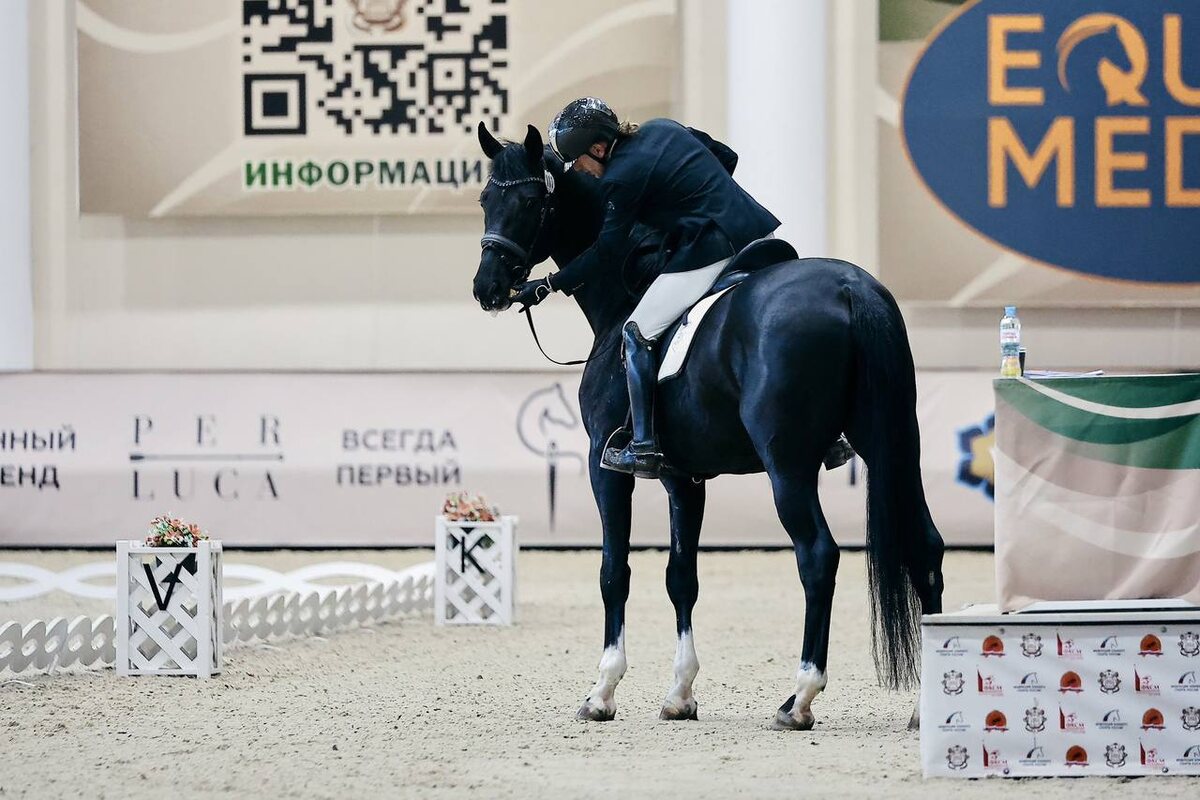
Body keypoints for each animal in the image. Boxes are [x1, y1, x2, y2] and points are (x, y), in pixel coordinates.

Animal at [471, 122, 945, 730]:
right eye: (486, 198)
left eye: (531, 203)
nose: (487, 289)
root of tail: (849, 286)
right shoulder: (684, 478)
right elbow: (682, 576)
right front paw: (679, 694)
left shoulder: (606, 469)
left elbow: (613, 572)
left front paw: (602, 691)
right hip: (893, 442)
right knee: (925, 546)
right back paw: (923, 706)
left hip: (787, 464)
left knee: (818, 556)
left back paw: (799, 698)